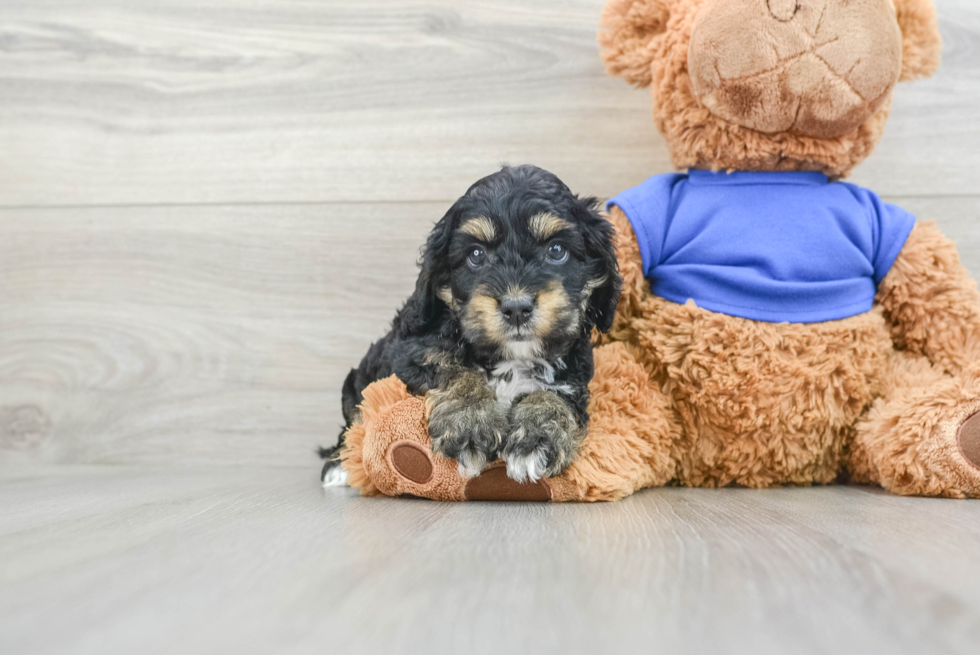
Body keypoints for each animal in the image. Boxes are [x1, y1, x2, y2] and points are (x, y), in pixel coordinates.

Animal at [322, 167, 620, 486]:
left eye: (556, 250)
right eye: (476, 255)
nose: (516, 308)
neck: (513, 357)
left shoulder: (575, 376)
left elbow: (556, 394)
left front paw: (537, 438)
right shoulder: (410, 350)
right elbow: (450, 366)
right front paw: (470, 423)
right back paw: (339, 465)